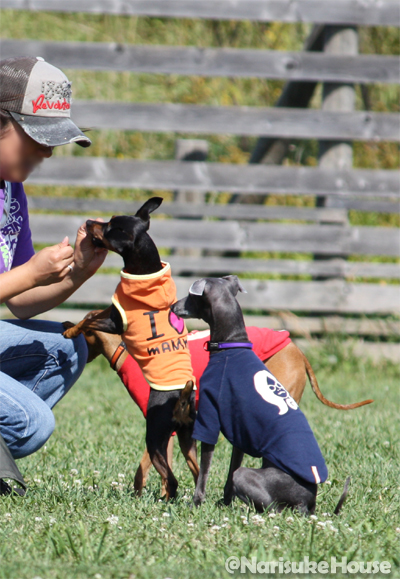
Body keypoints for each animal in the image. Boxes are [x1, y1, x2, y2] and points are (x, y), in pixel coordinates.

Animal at [63, 197, 199, 499]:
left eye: (109, 226)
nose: (89, 222)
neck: (145, 270)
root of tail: (183, 396)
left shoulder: (116, 320)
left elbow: (89, 316)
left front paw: (70, 329)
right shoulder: (115, 311)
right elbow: (91, 312)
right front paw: (68, 322)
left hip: (156, 435)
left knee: (171, 479)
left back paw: (165, 501)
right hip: (187, 439)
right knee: (197, 473)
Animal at [172, 276, 372, 514]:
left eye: (190, 295)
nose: (172, 307)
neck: (230, 344)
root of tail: (308, 501)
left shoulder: (209, 419)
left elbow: (203, 471)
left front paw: (197, 502)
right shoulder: (240, 430)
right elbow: (230, 469)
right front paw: (225, 501)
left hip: (252, 478)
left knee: (271, 507)